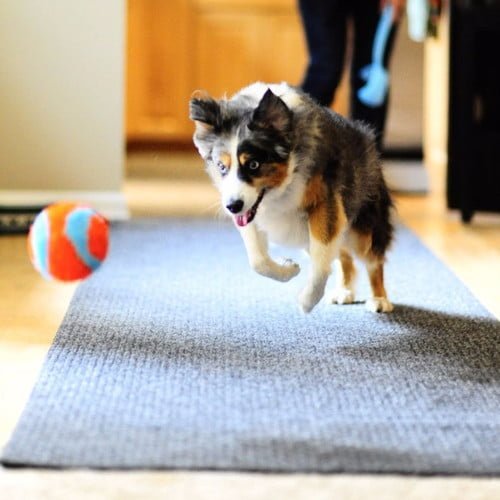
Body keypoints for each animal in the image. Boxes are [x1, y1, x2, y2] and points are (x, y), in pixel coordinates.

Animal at [189, 84, 392, 314]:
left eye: (253, 165)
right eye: (221, 167)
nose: (232, 206)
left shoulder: (325, 203)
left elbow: (322, 259)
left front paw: (307, 300)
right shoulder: (248, 211)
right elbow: (258, 260)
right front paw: (289, 268)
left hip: (363, 228)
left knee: (372, 260)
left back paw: (379, 299)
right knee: (343, 256)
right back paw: (344, 290)